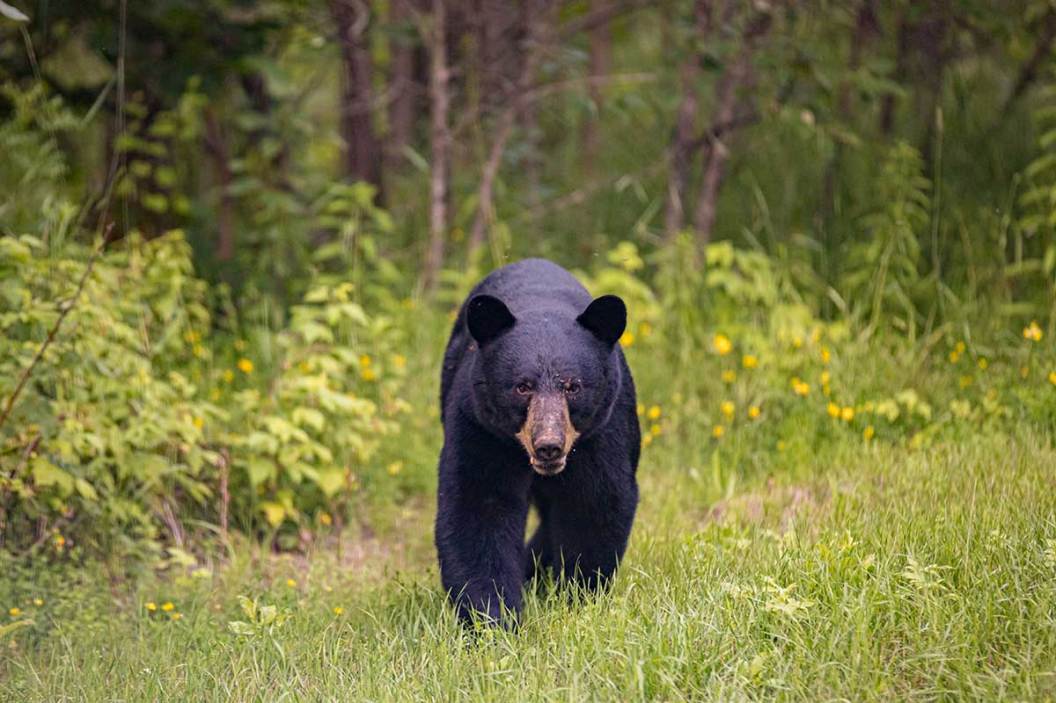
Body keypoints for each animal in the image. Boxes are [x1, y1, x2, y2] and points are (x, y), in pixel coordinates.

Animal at [434, 258, 640, 625]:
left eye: (572, 386)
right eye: (522, 386)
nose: (549, 445)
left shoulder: (602, 430)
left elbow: (594, 501)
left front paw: (576, 595)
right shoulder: (481, 426)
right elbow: (478, 507)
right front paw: (492, 618)